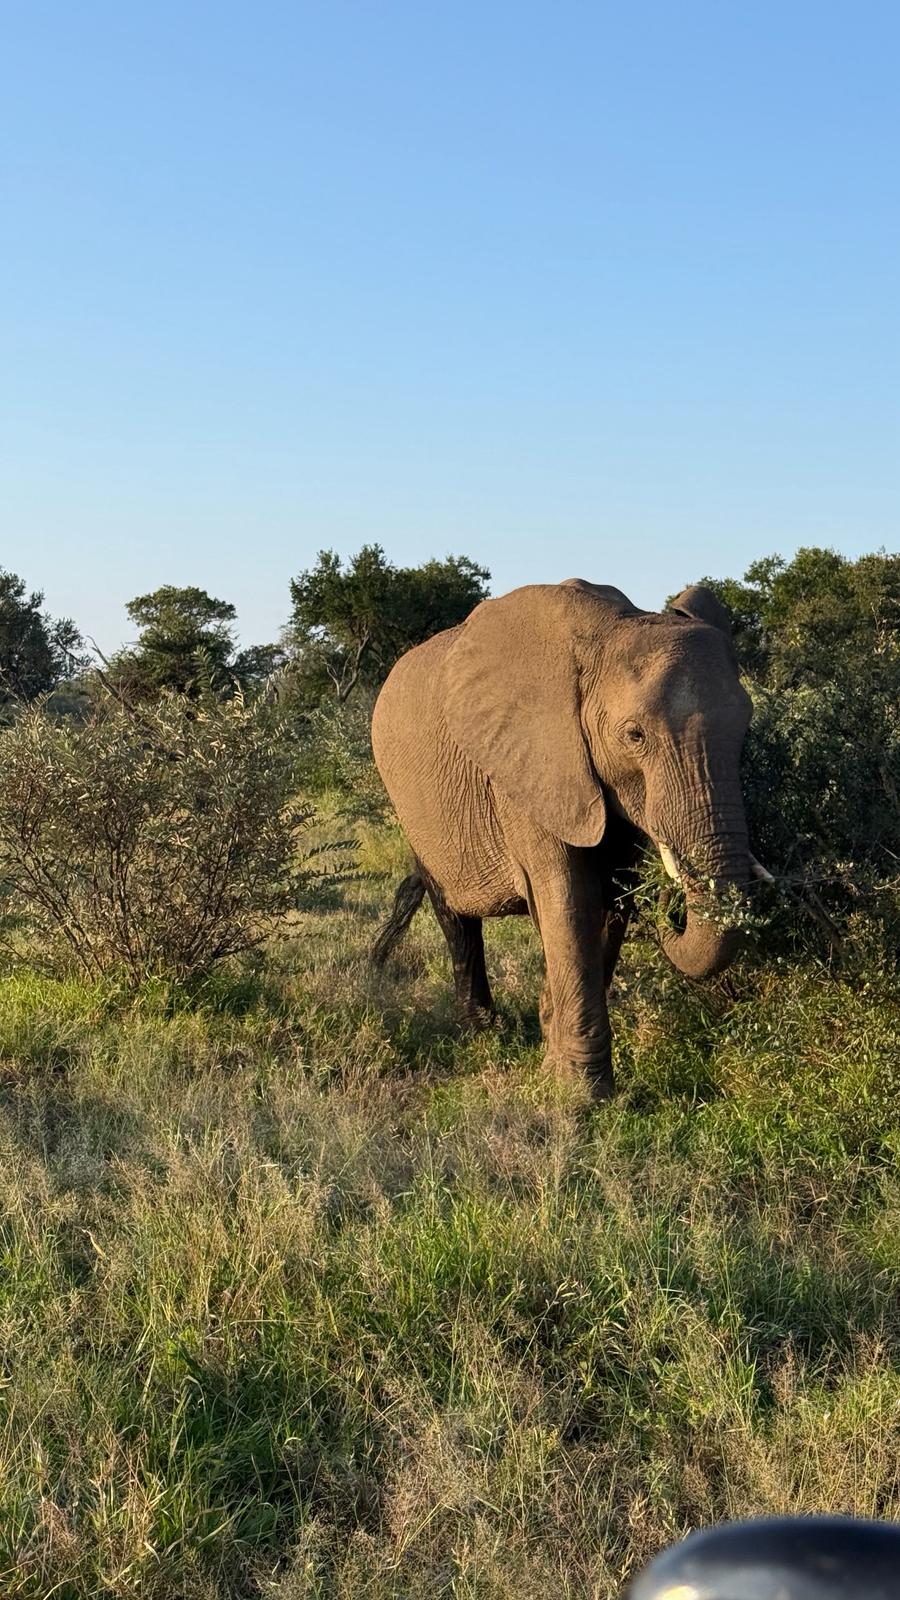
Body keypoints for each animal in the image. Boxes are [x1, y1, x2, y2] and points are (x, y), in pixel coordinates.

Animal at [371, 577, 767, 1098]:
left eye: (744, 729)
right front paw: (581, 1095)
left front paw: (551, 1046)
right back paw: (483, 1032)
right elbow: (569, 895)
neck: (611, 630)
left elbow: (612, 896)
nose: (672, 903)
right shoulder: (530, 763)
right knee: (455, 916)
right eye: (634, 735)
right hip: (413, 810)